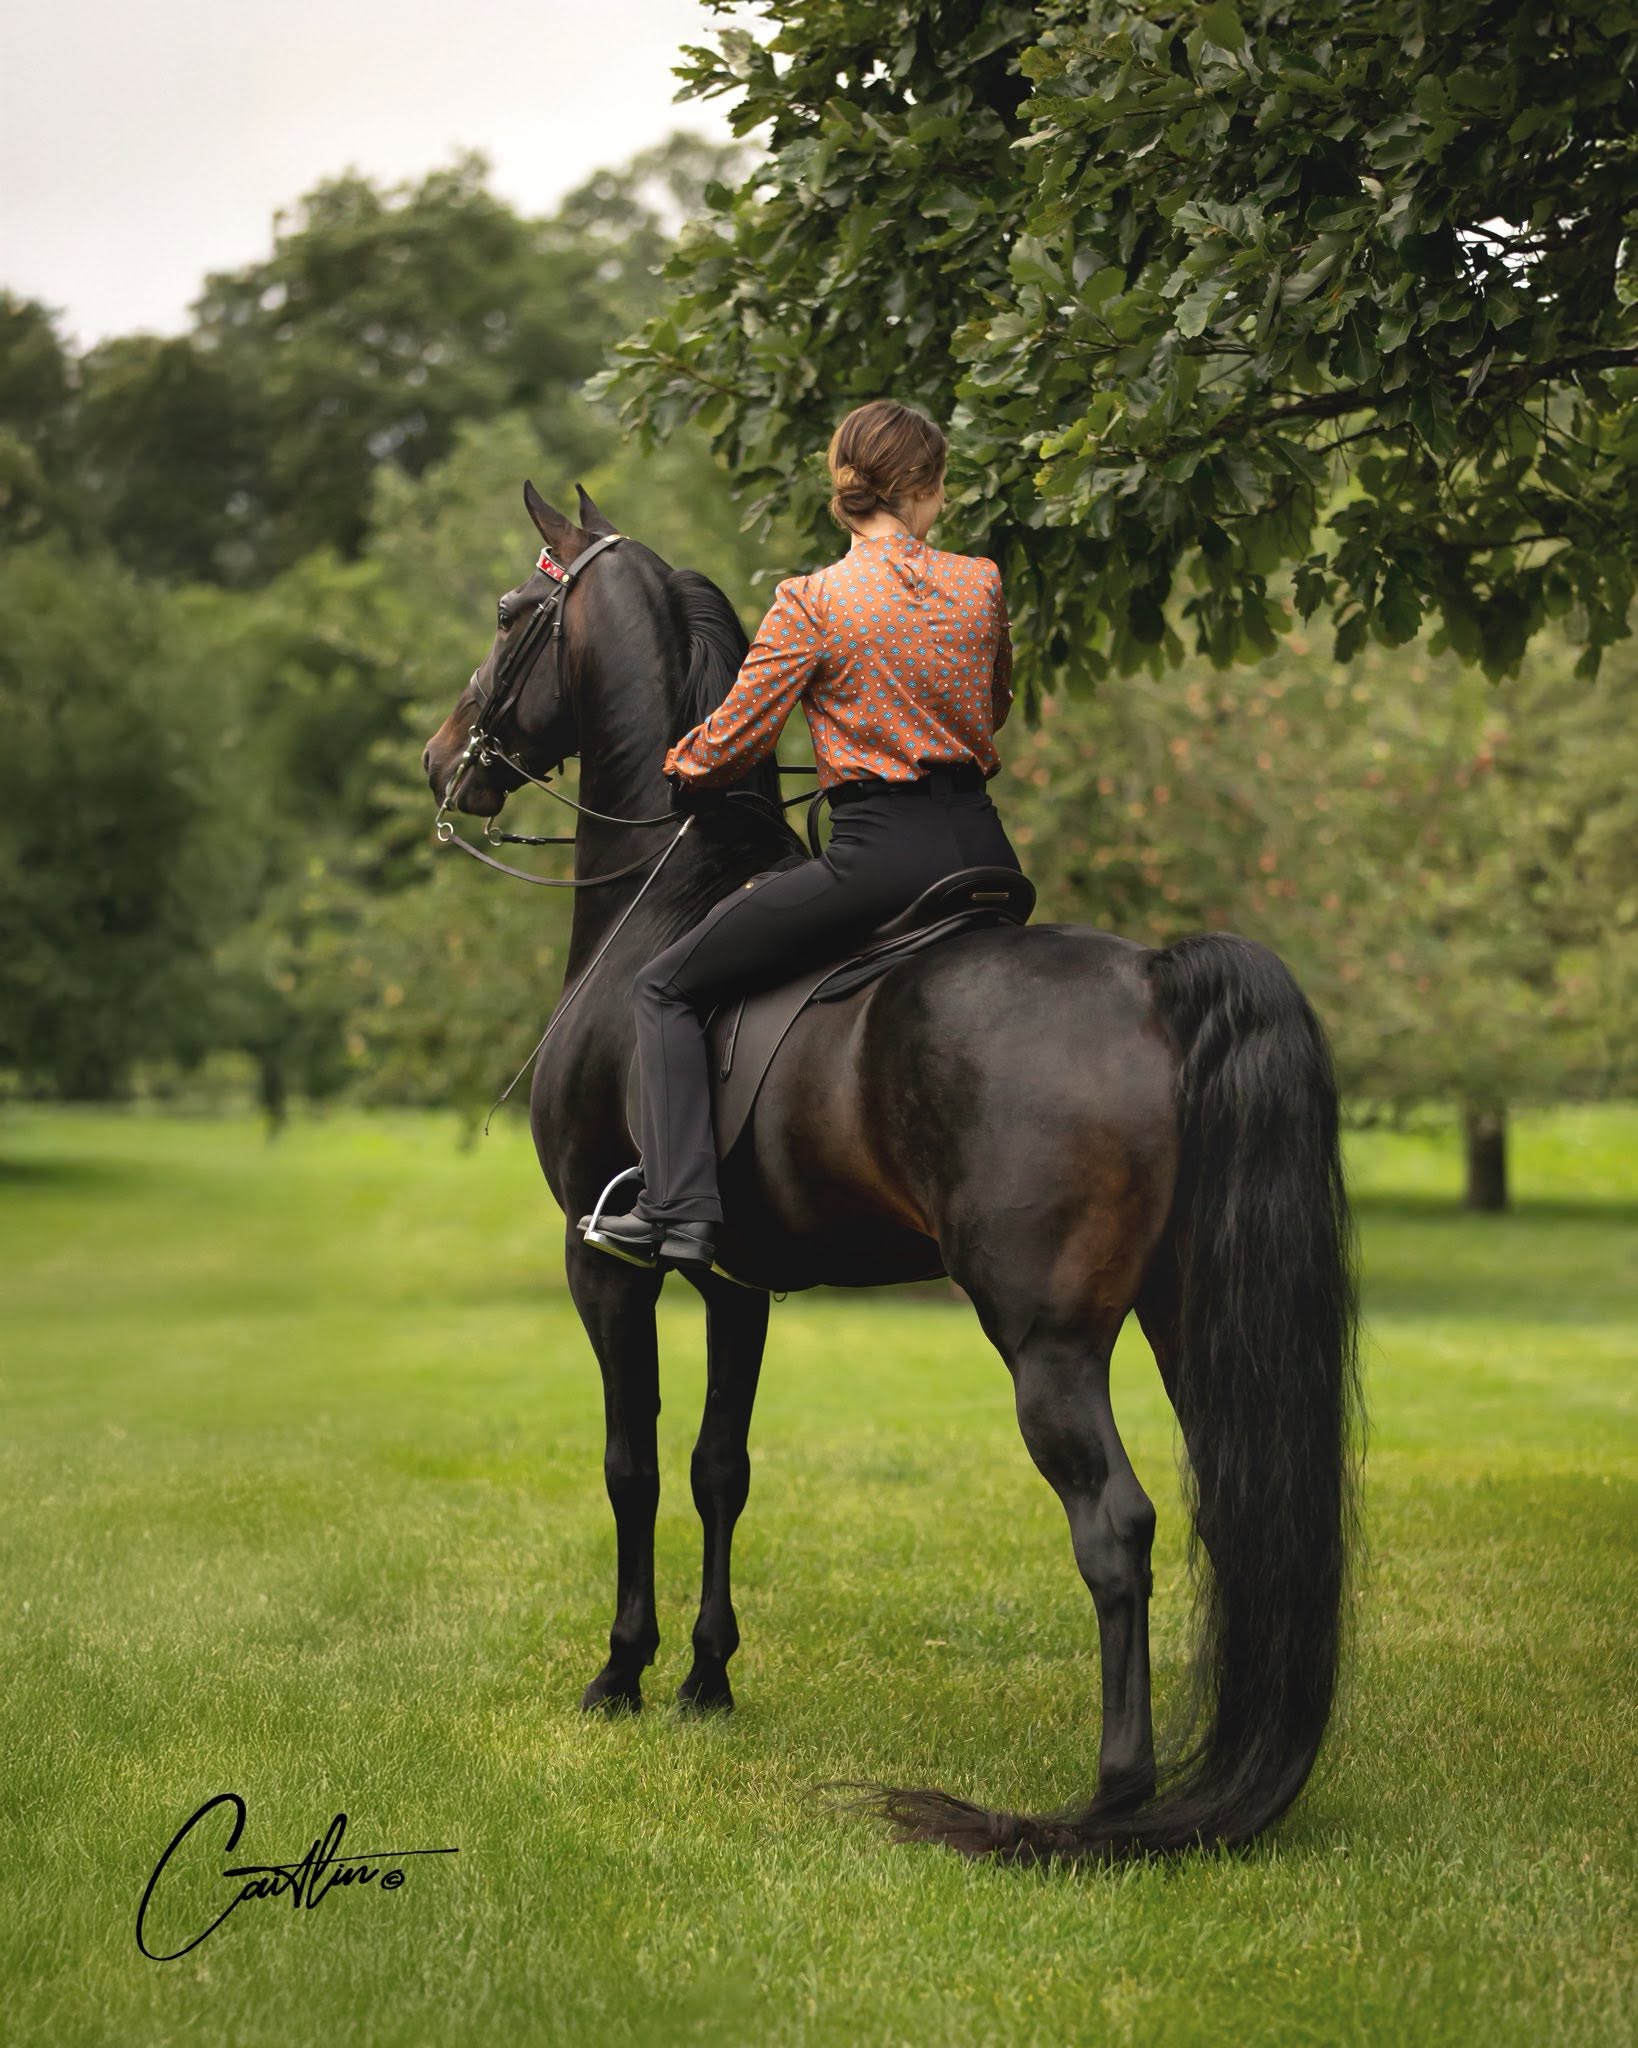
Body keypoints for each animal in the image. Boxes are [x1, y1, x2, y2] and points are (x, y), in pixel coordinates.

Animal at [421, 481, 1363, 1866]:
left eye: (508, 612)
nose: (444, 760)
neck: (672, 891)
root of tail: (1152, 977)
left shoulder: (606, 1269)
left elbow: (630, 1463)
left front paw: (621, 1672)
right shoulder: (738, 1285)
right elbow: (718, 1465)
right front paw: (707, 1677)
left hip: (1047, 1339)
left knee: (1117, 1524)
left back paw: (1115, 1795)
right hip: (1190, 1315)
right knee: (1235, 1509)